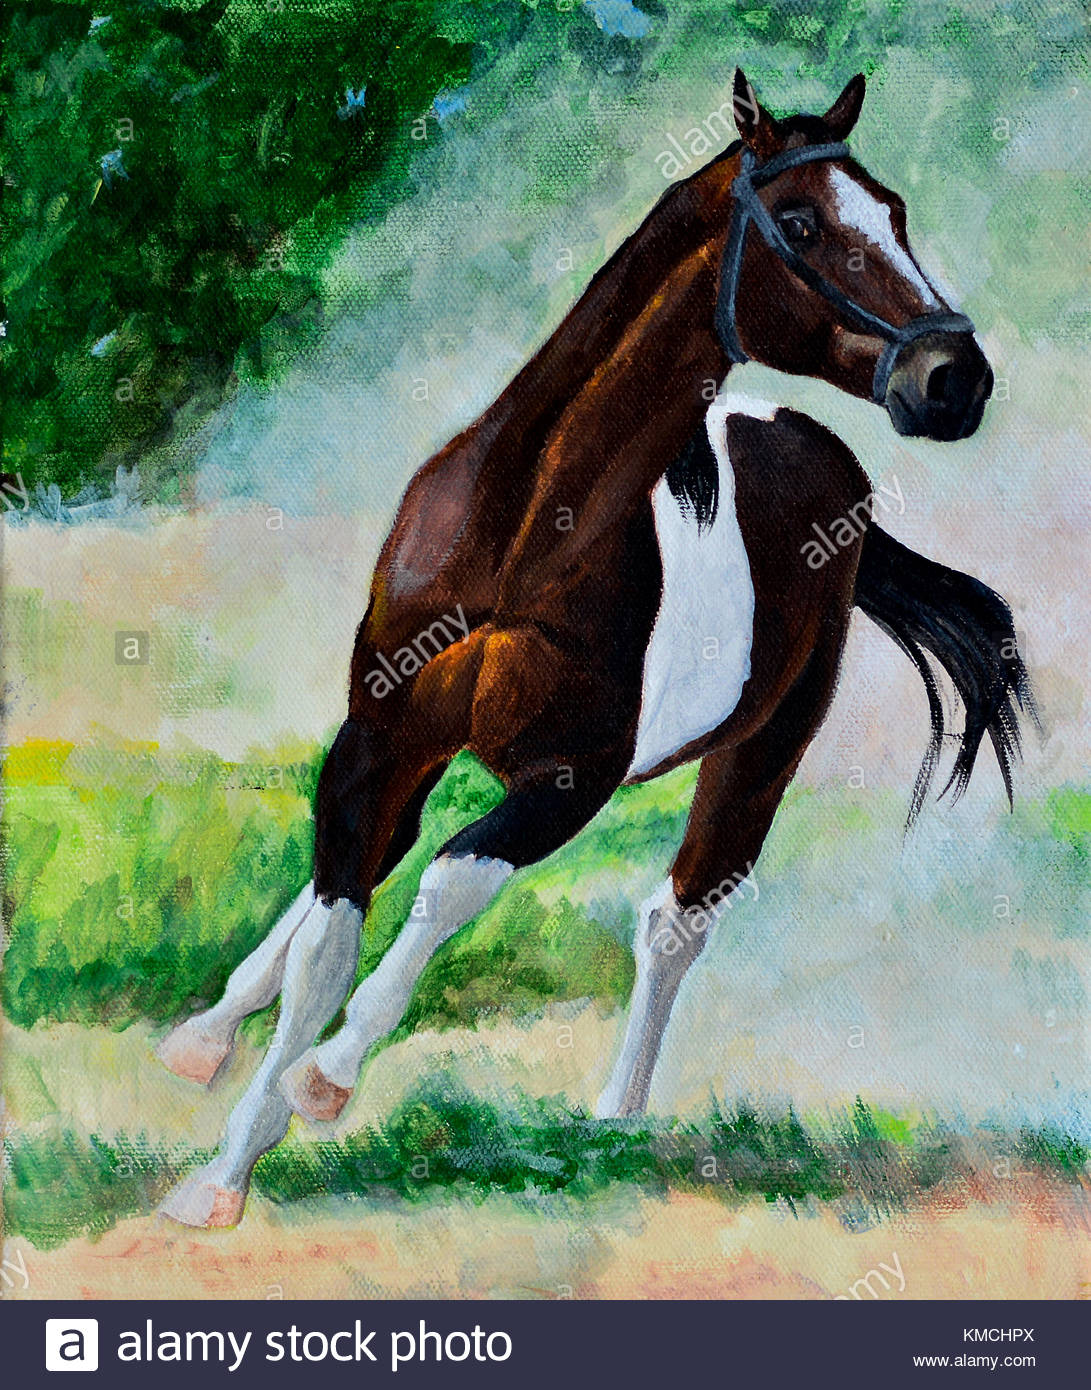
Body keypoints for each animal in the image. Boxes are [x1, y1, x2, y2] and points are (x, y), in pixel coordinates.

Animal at [157, 71, 1033, 1228]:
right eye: (801, 224)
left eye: (891, 211)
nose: (952, 378)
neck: (523, 538)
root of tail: (813, 447)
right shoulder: (378, 740)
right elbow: (329, 938)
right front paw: (221, 1175)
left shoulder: (570, 781)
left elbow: (449, 888)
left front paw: (324, 1081)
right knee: (360, 879)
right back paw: (204, 1037)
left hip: (761, 754)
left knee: (672, 922)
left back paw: (612, 1120)